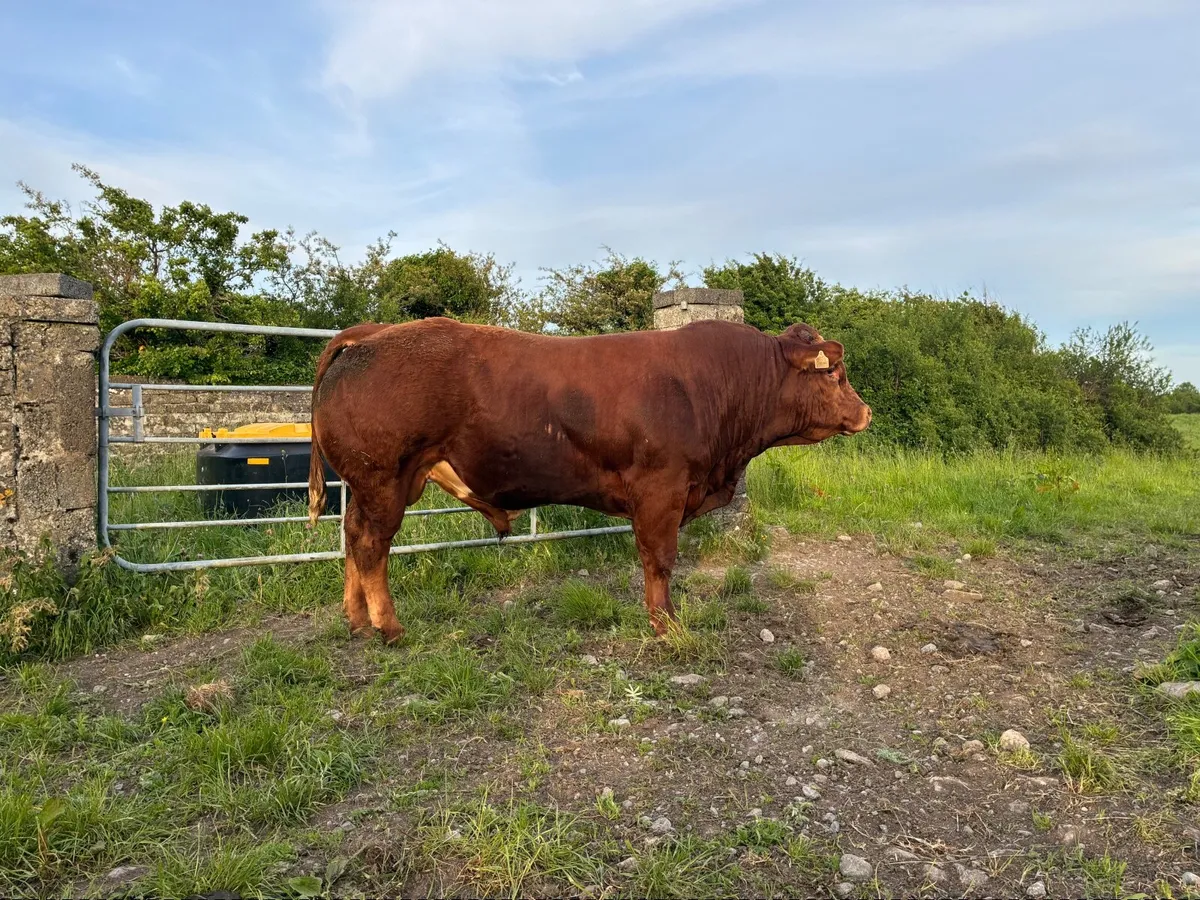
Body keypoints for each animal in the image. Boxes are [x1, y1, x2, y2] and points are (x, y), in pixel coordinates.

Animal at [307, 317, 871, 644]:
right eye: (835, 372)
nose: (865, 412)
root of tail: (371, 334)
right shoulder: (661, 490)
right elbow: (659, 560)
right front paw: (665, 625)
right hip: (383, 477)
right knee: (371, 544)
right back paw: (388, 627)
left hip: (374, 484)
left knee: (352, 536)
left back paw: (355, 619)